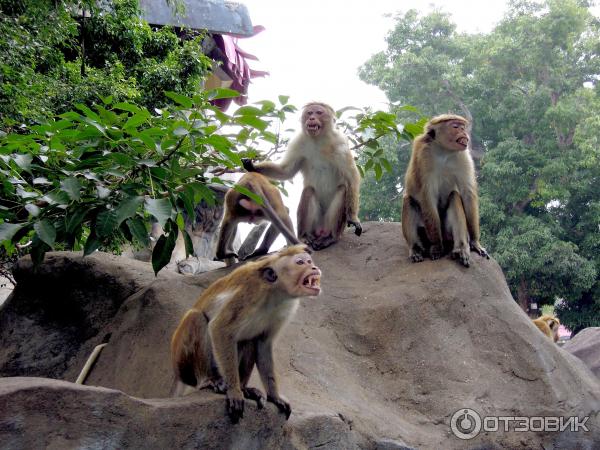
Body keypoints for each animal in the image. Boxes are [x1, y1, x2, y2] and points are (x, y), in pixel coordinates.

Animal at [171, 244, 322, 424]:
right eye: (300, 262)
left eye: (309, 261)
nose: (314, 267)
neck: (275, 292)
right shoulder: (250, 292)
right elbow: (220, 329)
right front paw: (234, 391)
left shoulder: (286, 308)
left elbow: (263, 343)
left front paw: (275, 396)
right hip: (183, 365)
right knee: (196, 318)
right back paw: (208, 381)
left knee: (250, 340)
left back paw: (245, 388)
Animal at [241, 100, 364, 251]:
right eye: (309, 113)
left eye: (319, 112)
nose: (311, 118)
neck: (318, 139)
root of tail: (320, 230)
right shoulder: (298, 142)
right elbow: (286, 171)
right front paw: (252, 166)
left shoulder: (340, 143)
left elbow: (352, 177)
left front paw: (353, 218)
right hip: (314, 225)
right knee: (309, 190)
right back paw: (305, 237)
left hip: (332, 226)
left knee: (342, 190)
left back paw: (329, 238)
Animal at [398, 113, 488, 268]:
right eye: (456, 126)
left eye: (463, 126)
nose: (464, 132)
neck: (444, 151)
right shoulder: (423, 155)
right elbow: (427, 196)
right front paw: (437, 247)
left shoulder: (463, 155)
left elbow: (467, 193)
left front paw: (475, 242)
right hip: (425, 232)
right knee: (409, 200)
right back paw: (416, 249)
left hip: (447, 233)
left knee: (454, 196)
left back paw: (460, 249)